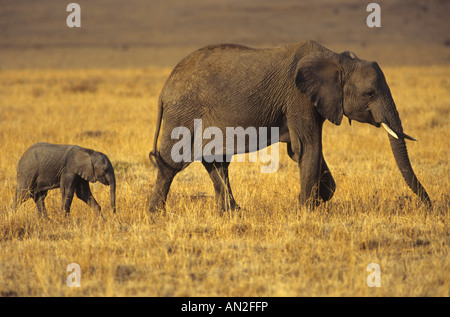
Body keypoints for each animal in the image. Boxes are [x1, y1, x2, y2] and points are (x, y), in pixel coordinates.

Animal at [146, 40, 430, 212]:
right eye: (370, 94)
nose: (429, 206)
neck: (336, 58)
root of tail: (163, 90)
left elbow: (301, 150)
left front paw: (320, 198)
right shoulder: (299, 97)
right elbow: (308, 147)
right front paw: (307, 210)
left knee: (216, 162)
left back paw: (232, 213)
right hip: (184, 114)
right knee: (173, 163)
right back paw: (156, 214)